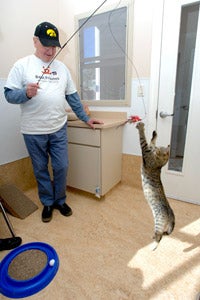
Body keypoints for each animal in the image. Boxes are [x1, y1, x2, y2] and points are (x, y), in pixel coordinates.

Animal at [136, 122, 175, 251]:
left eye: (160, 149)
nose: (157, 149)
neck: (160, 165)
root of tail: (172, 217)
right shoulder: (150, 151)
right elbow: (151, 142)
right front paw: (154, 134)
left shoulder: (146, 153)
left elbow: (143, 140)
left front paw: (141, 128)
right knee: (161, 234)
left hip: (159, 222)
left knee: (160, 237)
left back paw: (153, 246)